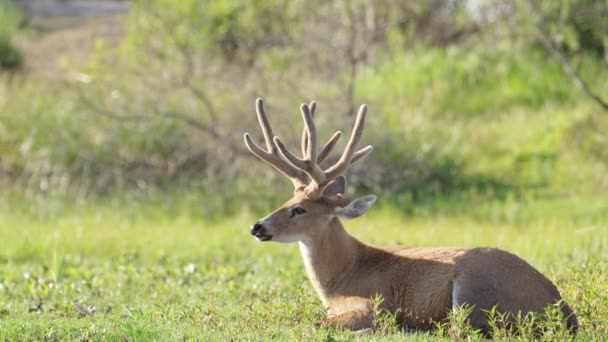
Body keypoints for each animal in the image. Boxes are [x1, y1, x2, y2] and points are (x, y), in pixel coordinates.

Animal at [243, 99, 580, 334]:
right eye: (287, 199)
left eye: (299, 209)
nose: (257, 226)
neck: (343, 276)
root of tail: (564, 312)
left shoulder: (372, 305)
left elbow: (316, 324)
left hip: (473, 289)